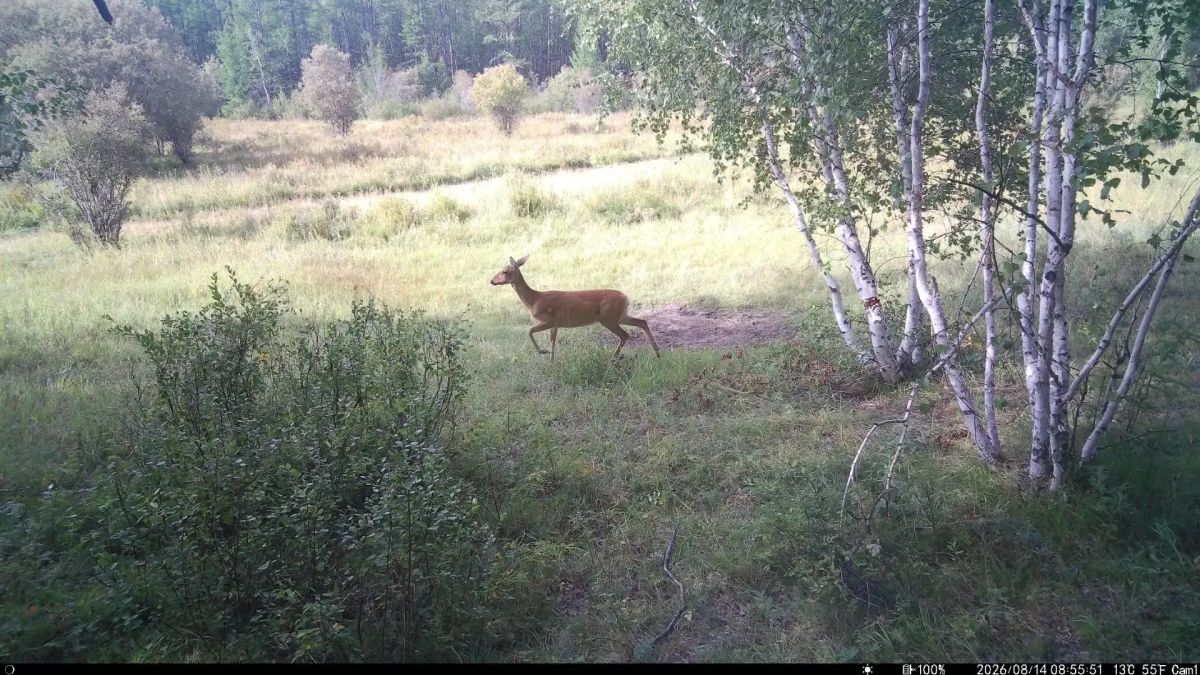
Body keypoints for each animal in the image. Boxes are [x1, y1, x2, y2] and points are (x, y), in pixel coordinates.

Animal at [490, 255, 662, 364]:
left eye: (504, 271)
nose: (492, 281)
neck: (534, 300)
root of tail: (626, 297)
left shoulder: (550, 319)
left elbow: (530, 331)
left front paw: (544, 353)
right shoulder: (556, 325)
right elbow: (552, 341)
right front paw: (551, 362)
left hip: (608, 318)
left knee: (625, 334)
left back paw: (612, 360)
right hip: (620, 315)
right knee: (642, 321)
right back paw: (657, 352)